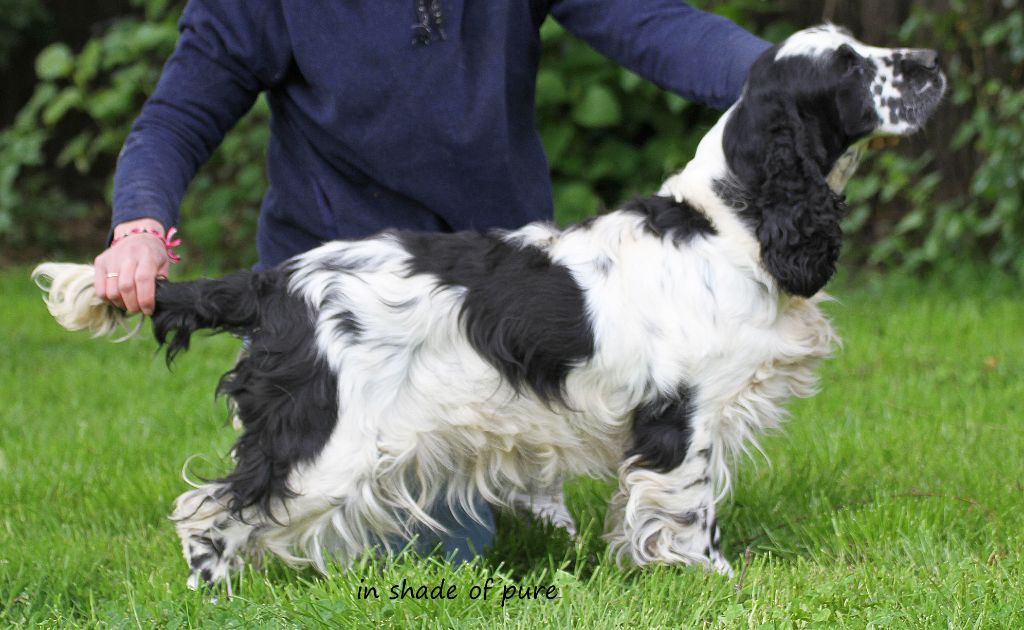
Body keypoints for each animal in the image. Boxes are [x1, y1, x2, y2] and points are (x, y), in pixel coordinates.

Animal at [34, 24, 942, 585]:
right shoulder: (684, 415)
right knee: (208, 512)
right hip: (323, 442)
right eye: (851, 68)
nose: (931, 61)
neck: (732, 220)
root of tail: (275, 283)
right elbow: (689, 509)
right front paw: (710, 579)